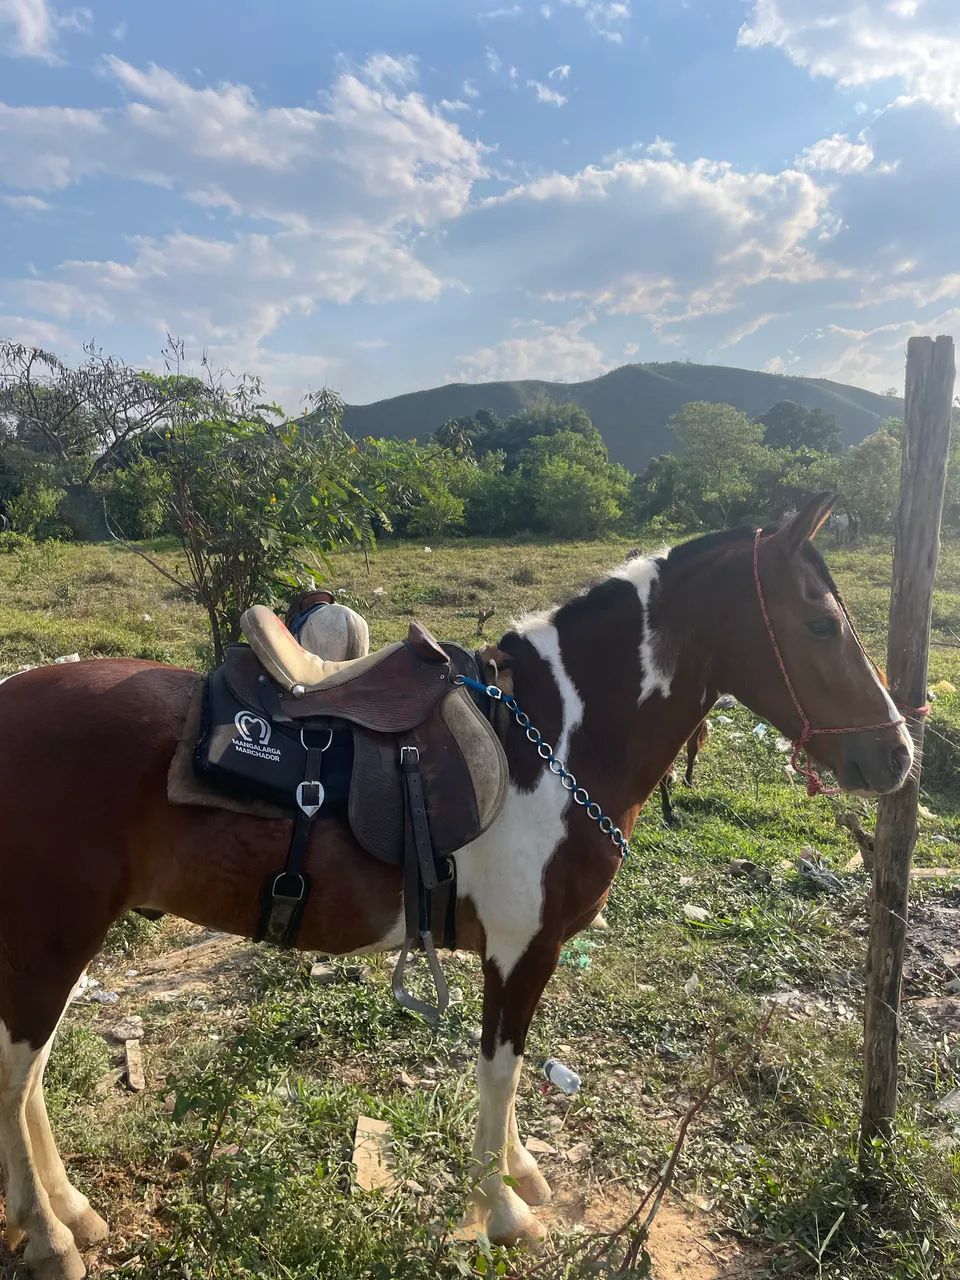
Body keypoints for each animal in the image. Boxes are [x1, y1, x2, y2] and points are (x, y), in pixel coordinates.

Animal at [0, 496, 914, 1280]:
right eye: (822, 623)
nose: (899, 754)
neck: (553, 743)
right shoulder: (519, 950)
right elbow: (499, 1071)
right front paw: (503, 1211)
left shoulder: (520, 952)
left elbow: (508, 1072)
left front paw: (521, 1173)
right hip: (51, 939)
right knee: (16, 1077)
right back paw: (48, 1237)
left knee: (32, 1076)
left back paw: (71, 1212)